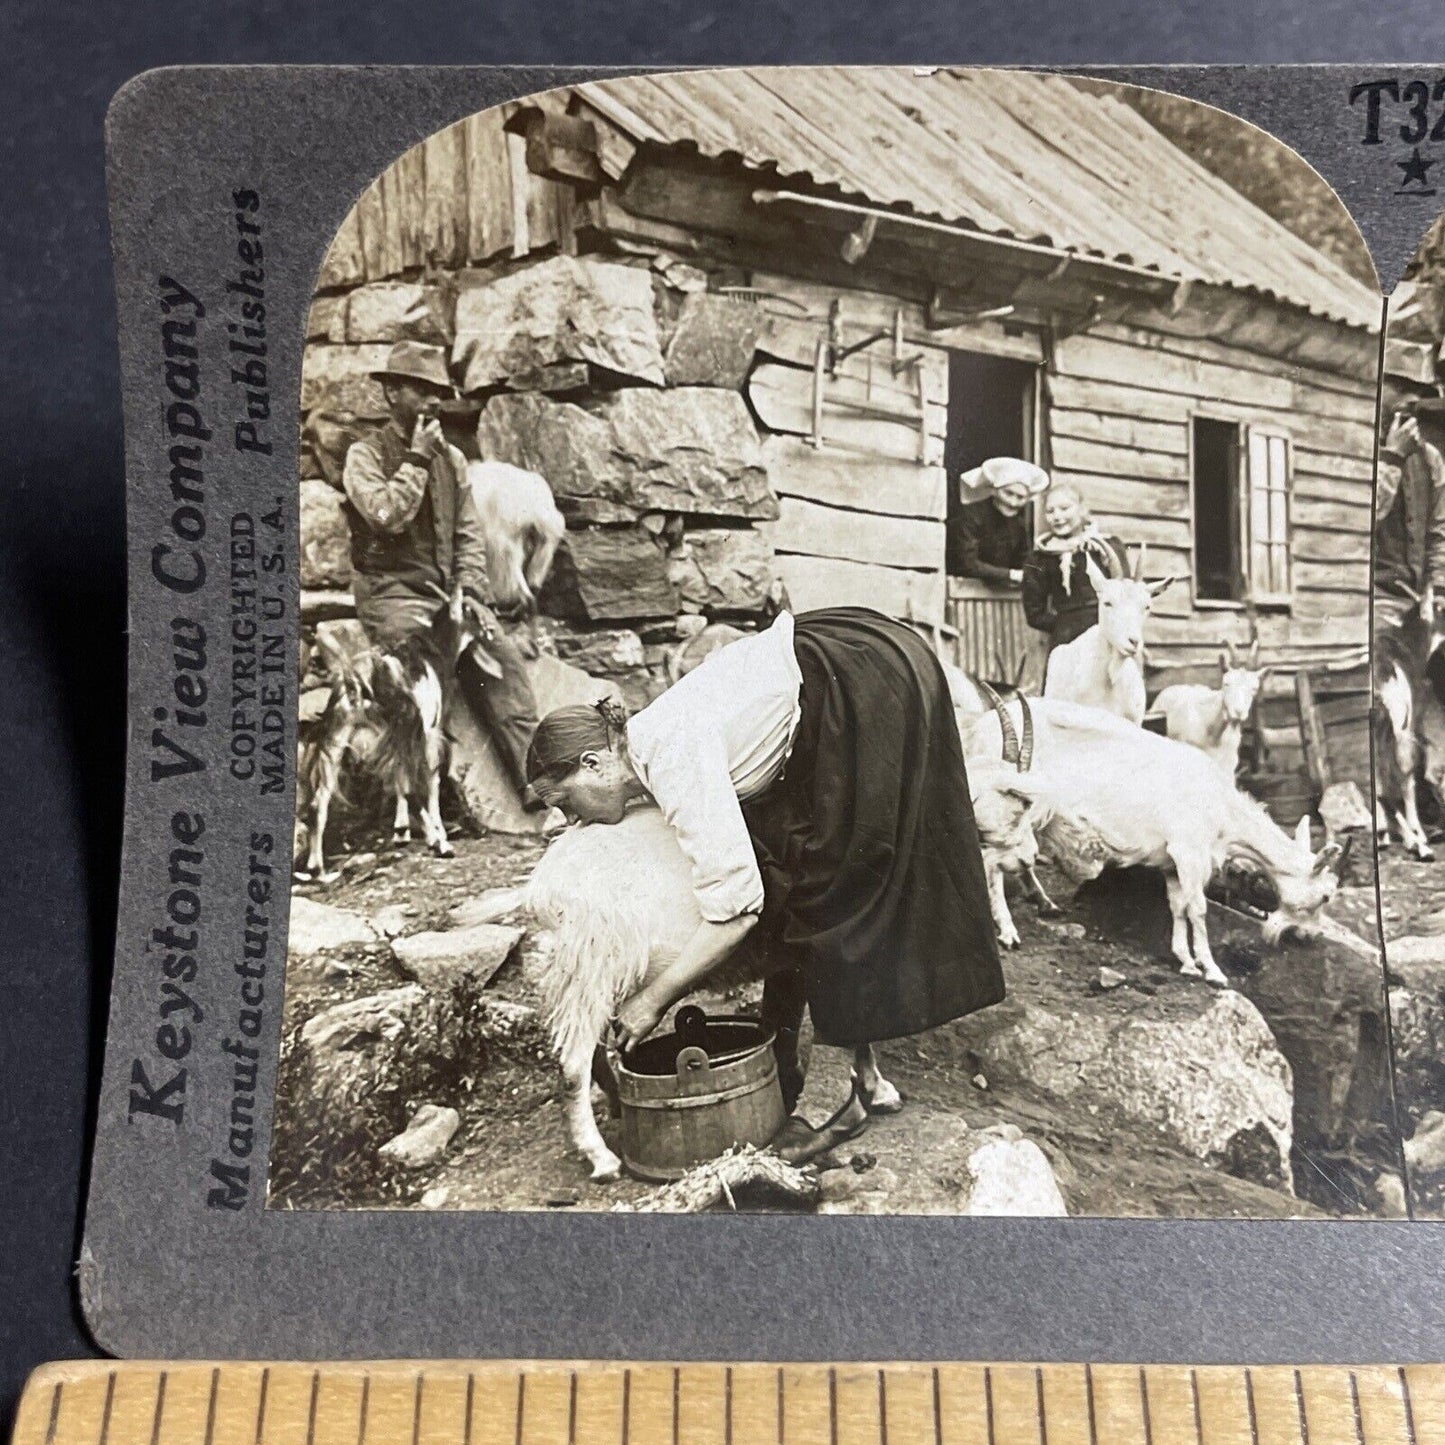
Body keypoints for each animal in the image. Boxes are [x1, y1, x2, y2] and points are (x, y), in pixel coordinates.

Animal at [525, 809, 895, 1179]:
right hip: (589, 968)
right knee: (573, 1068)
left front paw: (874, 1088)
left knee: (594, 1054)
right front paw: (874, 1088)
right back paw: (601, 1157)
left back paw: (617, 1103)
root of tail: (542, 888)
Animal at [965, 696, 1346, 982]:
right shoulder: (1190, 852)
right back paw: (1008, 930)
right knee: (993, 862)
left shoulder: (1172, 863)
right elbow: (1197, 909)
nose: (1313, 936)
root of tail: (978, 732)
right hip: (1013, 810)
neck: (1221, 807)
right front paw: (1212, 970)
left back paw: (1044, 903)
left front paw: (1186, 961)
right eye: (1326, 895)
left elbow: (1177, 906)